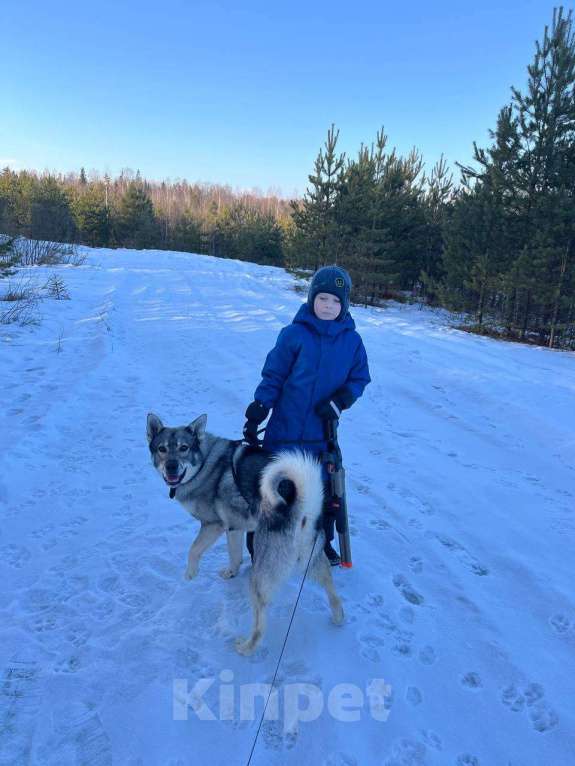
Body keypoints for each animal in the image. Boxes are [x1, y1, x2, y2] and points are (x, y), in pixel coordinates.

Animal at [146, 412, 344, 656]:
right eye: (162, 449)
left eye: (184, 448)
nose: (172, 467)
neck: (204, 465)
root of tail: (302, 513)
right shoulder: (235, 527)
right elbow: (235, 555)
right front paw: (231, 572)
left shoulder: (214, 525)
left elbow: (193, 550)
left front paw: (191, 573)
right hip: (314, 563)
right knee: (332, 590)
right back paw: (338, 618)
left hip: (259, 579)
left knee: (260, 627)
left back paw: (246, 647)